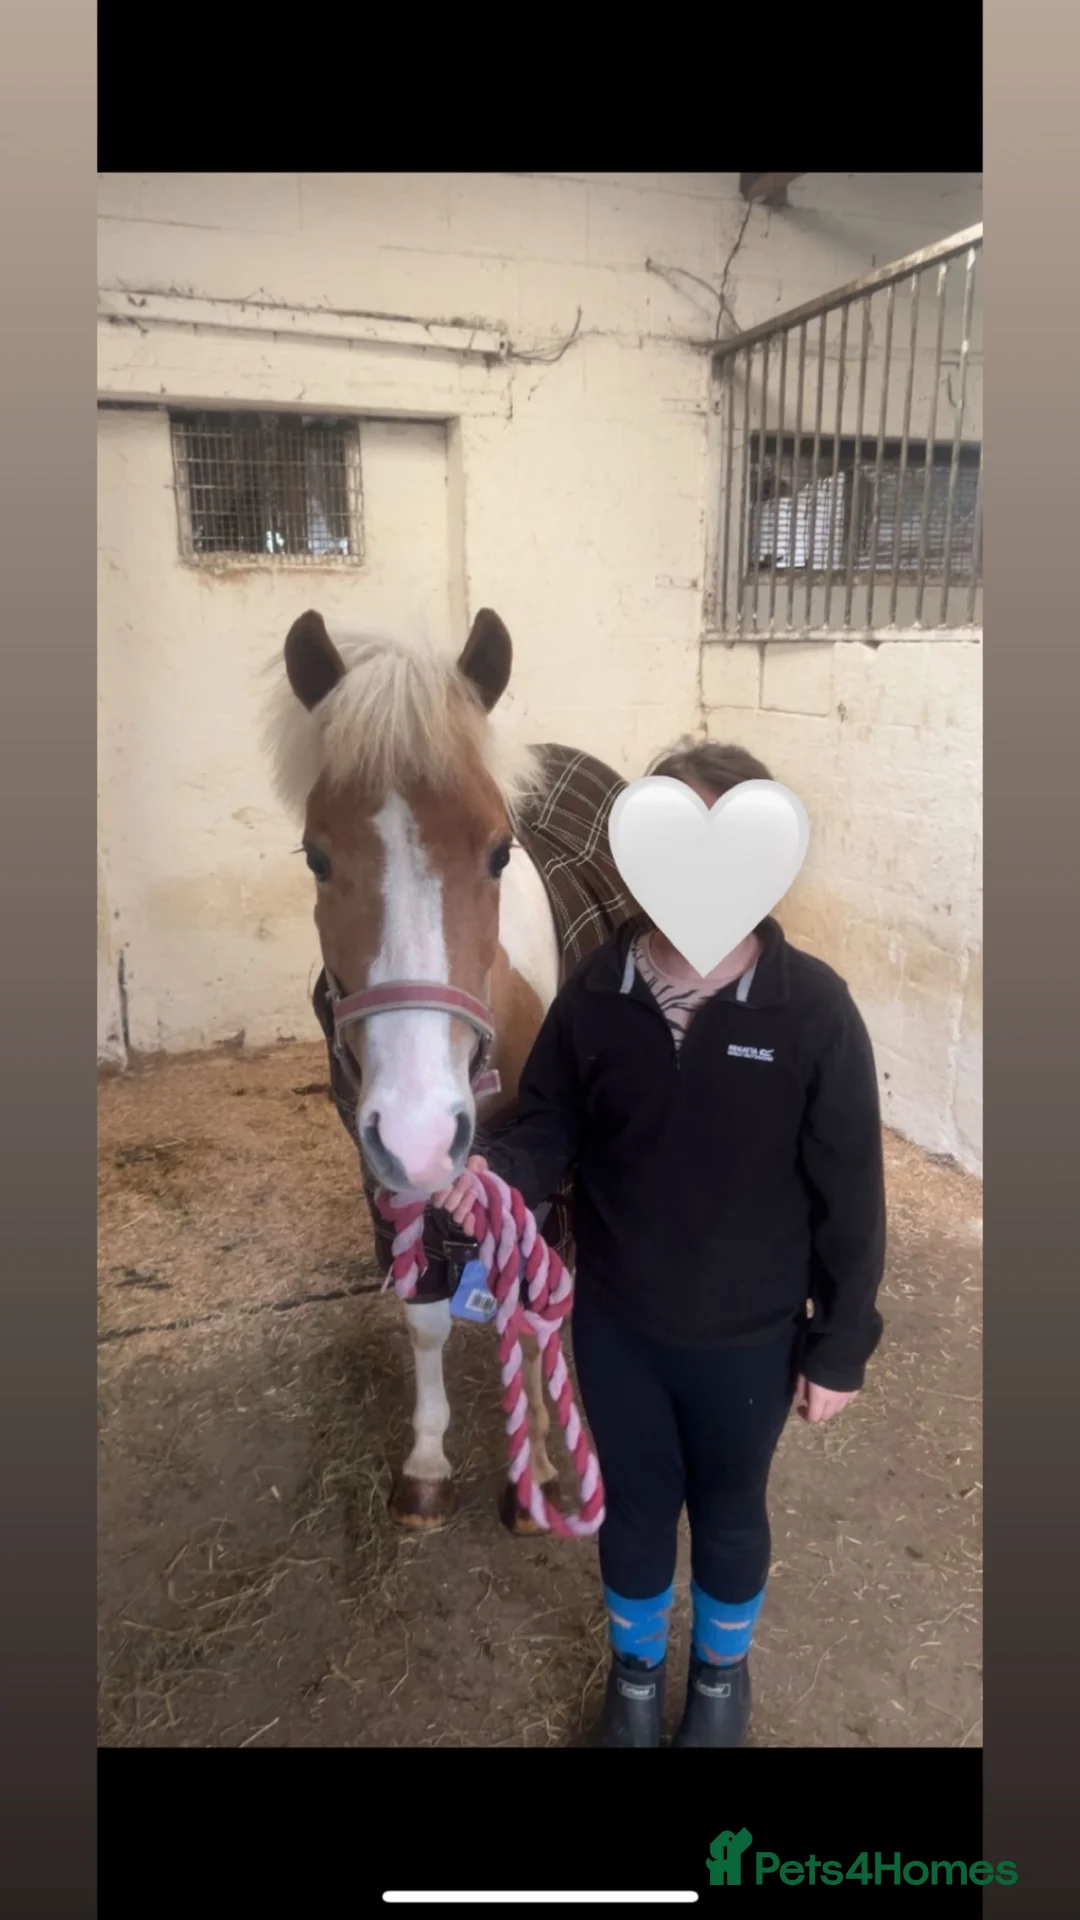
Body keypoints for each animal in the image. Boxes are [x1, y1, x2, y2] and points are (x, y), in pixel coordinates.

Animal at [263, 606, 632, 1535]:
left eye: (499, 852)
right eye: (316, 856)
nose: (423, 1128)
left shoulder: (542, 1176)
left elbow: (529, 1314)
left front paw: (539, 1467)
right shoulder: (385, 1174)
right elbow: (426, 1316)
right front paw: (428, 1462)